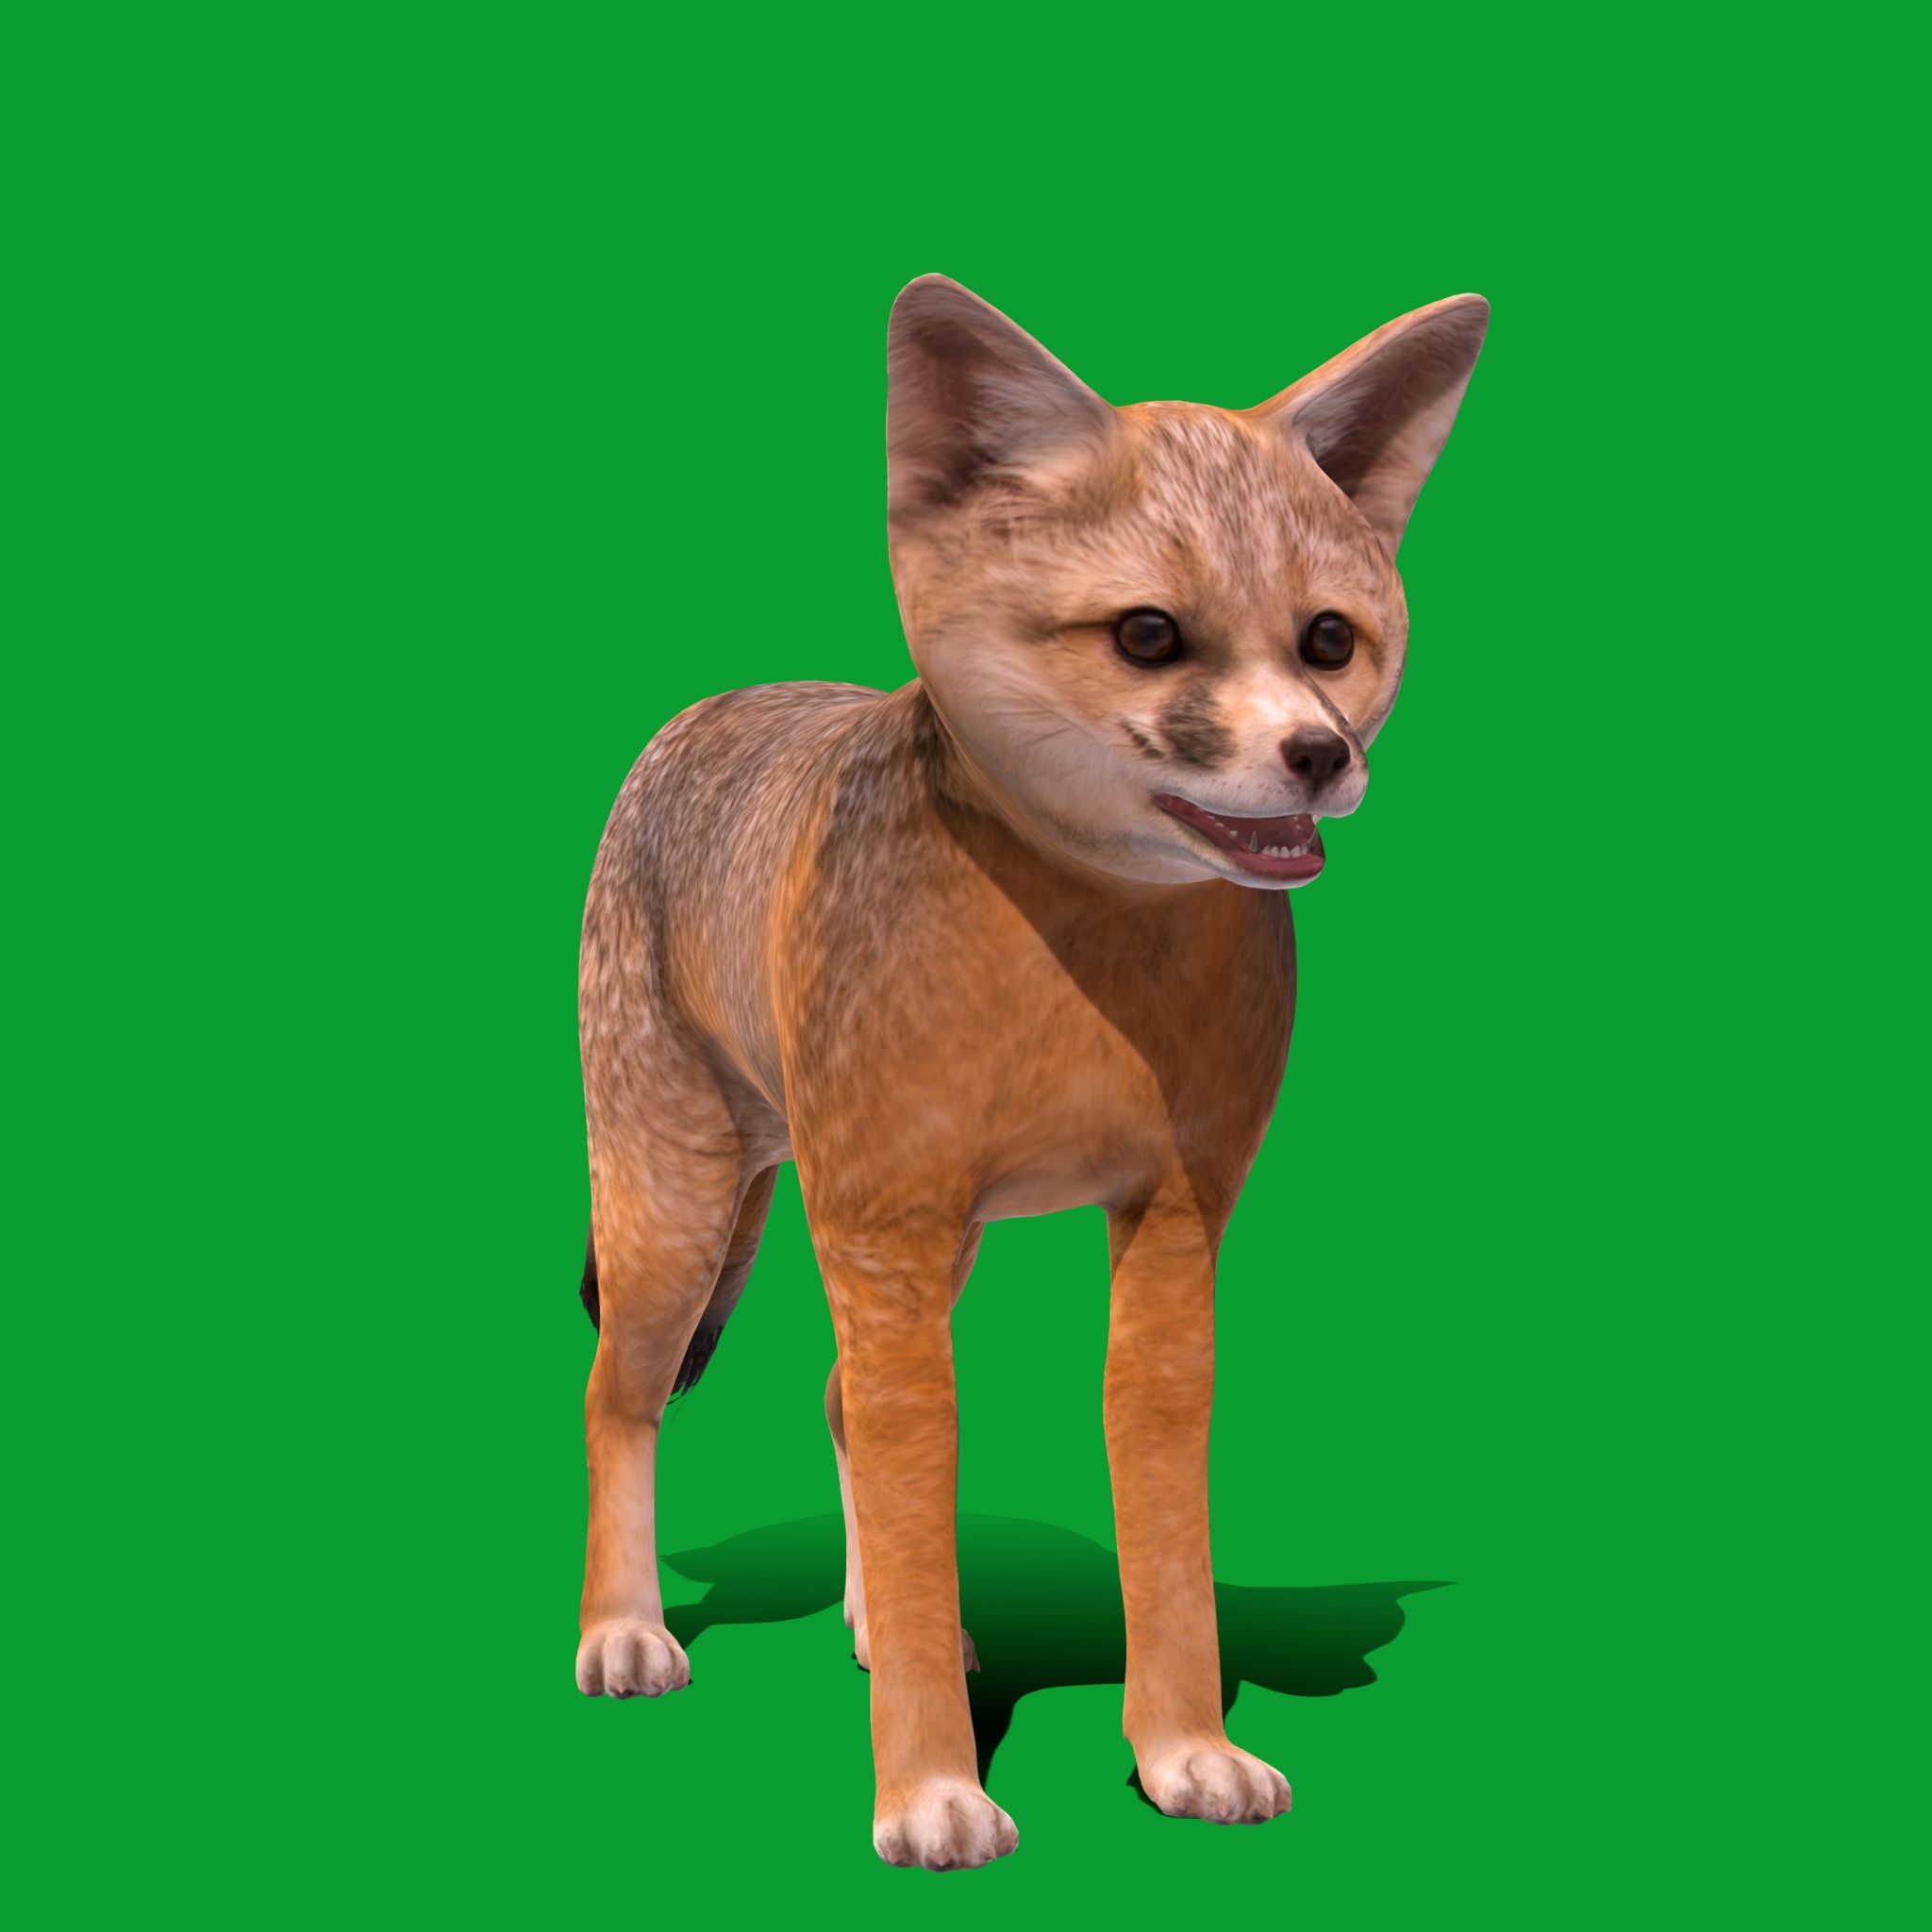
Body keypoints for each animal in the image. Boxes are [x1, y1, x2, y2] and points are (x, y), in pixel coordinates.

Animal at [574, 273, 1489, 1870]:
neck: (1082, 969)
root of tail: (712, 707)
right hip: (684, 1224)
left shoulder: (1173, 1229)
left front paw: (1183, 1753)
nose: (1319, 757)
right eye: (1149, 635)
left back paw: (884, 1626)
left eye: (1328, 642)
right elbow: (912, 1477)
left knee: (834, 1399)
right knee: (619, 1399)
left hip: (915, 1253)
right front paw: (932, 1791)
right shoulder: (887, 1228)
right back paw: (625, 1632)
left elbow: (1159, 1531)